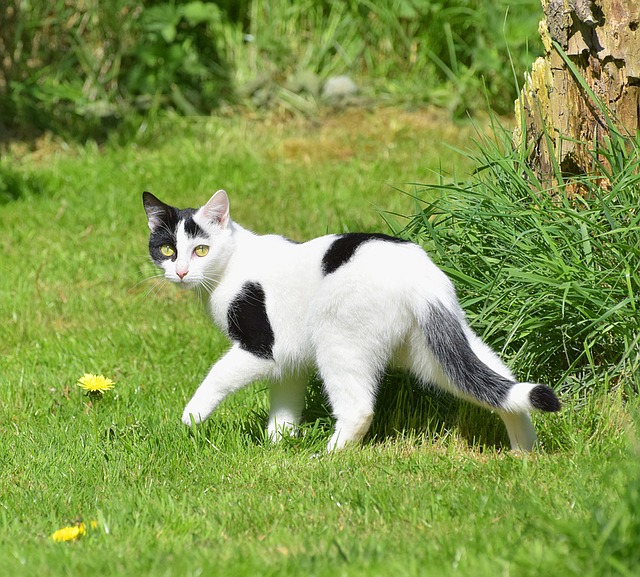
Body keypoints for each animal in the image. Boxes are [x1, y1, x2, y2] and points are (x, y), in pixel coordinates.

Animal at [141, 189, 560, 450]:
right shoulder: (289, 360)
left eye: (201, 250)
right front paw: (277, 446)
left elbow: (216, 377)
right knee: (497, 384)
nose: (180, 272)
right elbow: (285, 406)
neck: (231, 267)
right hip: (435, 349)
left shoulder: (260, 348)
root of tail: (422, 277)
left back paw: (325, 458)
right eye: (167, 250)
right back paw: (524, 452)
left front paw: (191, 418)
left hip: (339, 342)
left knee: (359, 409)